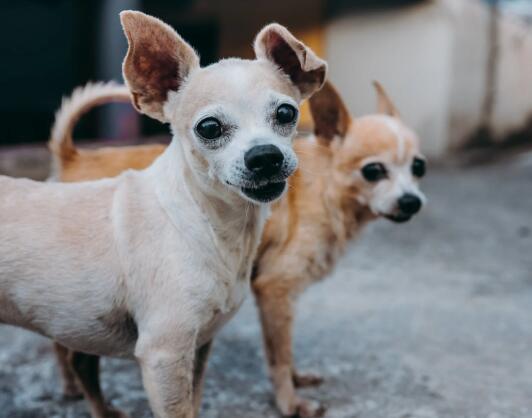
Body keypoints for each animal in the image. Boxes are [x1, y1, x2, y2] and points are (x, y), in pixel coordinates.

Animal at [0, 9, 326, 418]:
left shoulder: (199, 345)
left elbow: (194, 403)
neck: (209, 227)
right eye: (209, 128)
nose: (265, 156)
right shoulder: (165, 356)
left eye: (286, 113)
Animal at [47, 79, 426, 418]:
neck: (325, 185)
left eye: (418, 167)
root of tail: (71, 156)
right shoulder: (274, 291)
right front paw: (290, 404)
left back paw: (70, 387)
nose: (412, 201)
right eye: (373, 171)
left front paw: (297, 380)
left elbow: (284, 349)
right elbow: (279, 354)